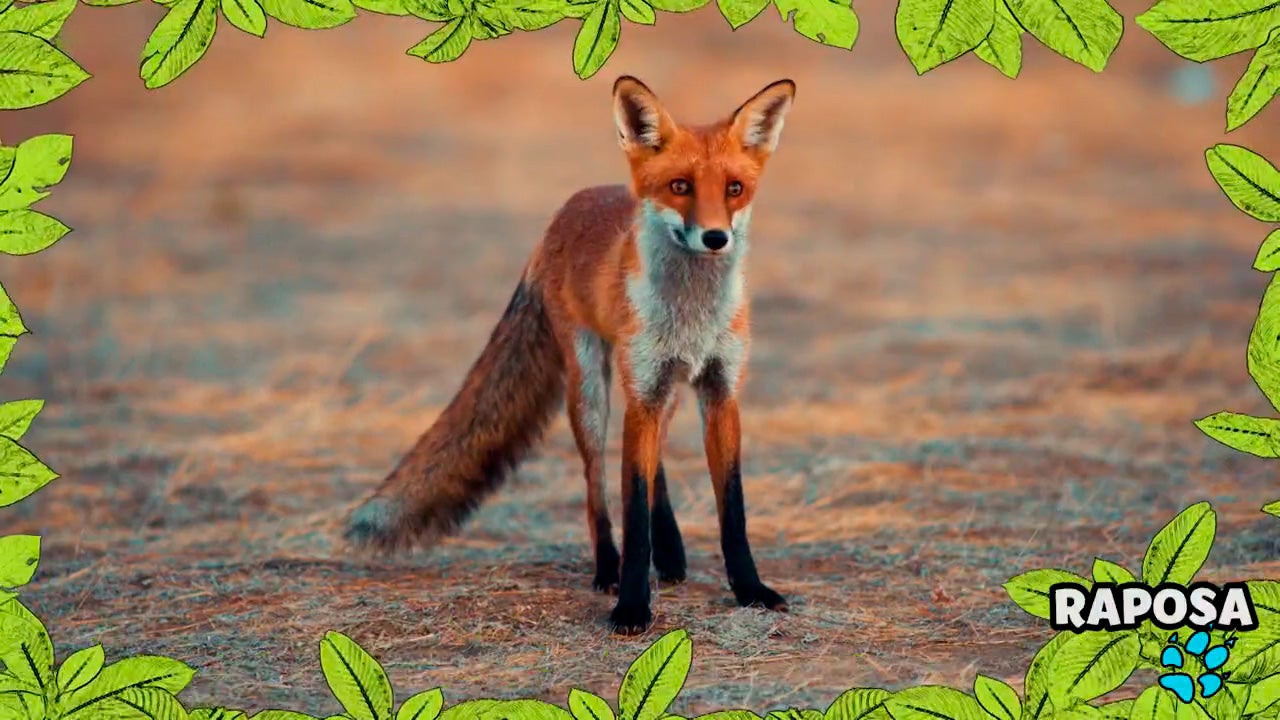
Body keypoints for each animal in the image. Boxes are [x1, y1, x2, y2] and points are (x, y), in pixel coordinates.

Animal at [344, 75, 796, 634]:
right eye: (680, 186)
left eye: (734, 188)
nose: (716, 238)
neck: (691, 315)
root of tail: (565, 211)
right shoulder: (645, 390)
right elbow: (633, 509)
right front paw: (631, 606)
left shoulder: (719, 390)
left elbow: (732, 508)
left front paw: (750, 590)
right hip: (592, 390)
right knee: (596, 482)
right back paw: (608, 568)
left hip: (658, 389)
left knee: (655, 462)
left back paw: (669, 555)